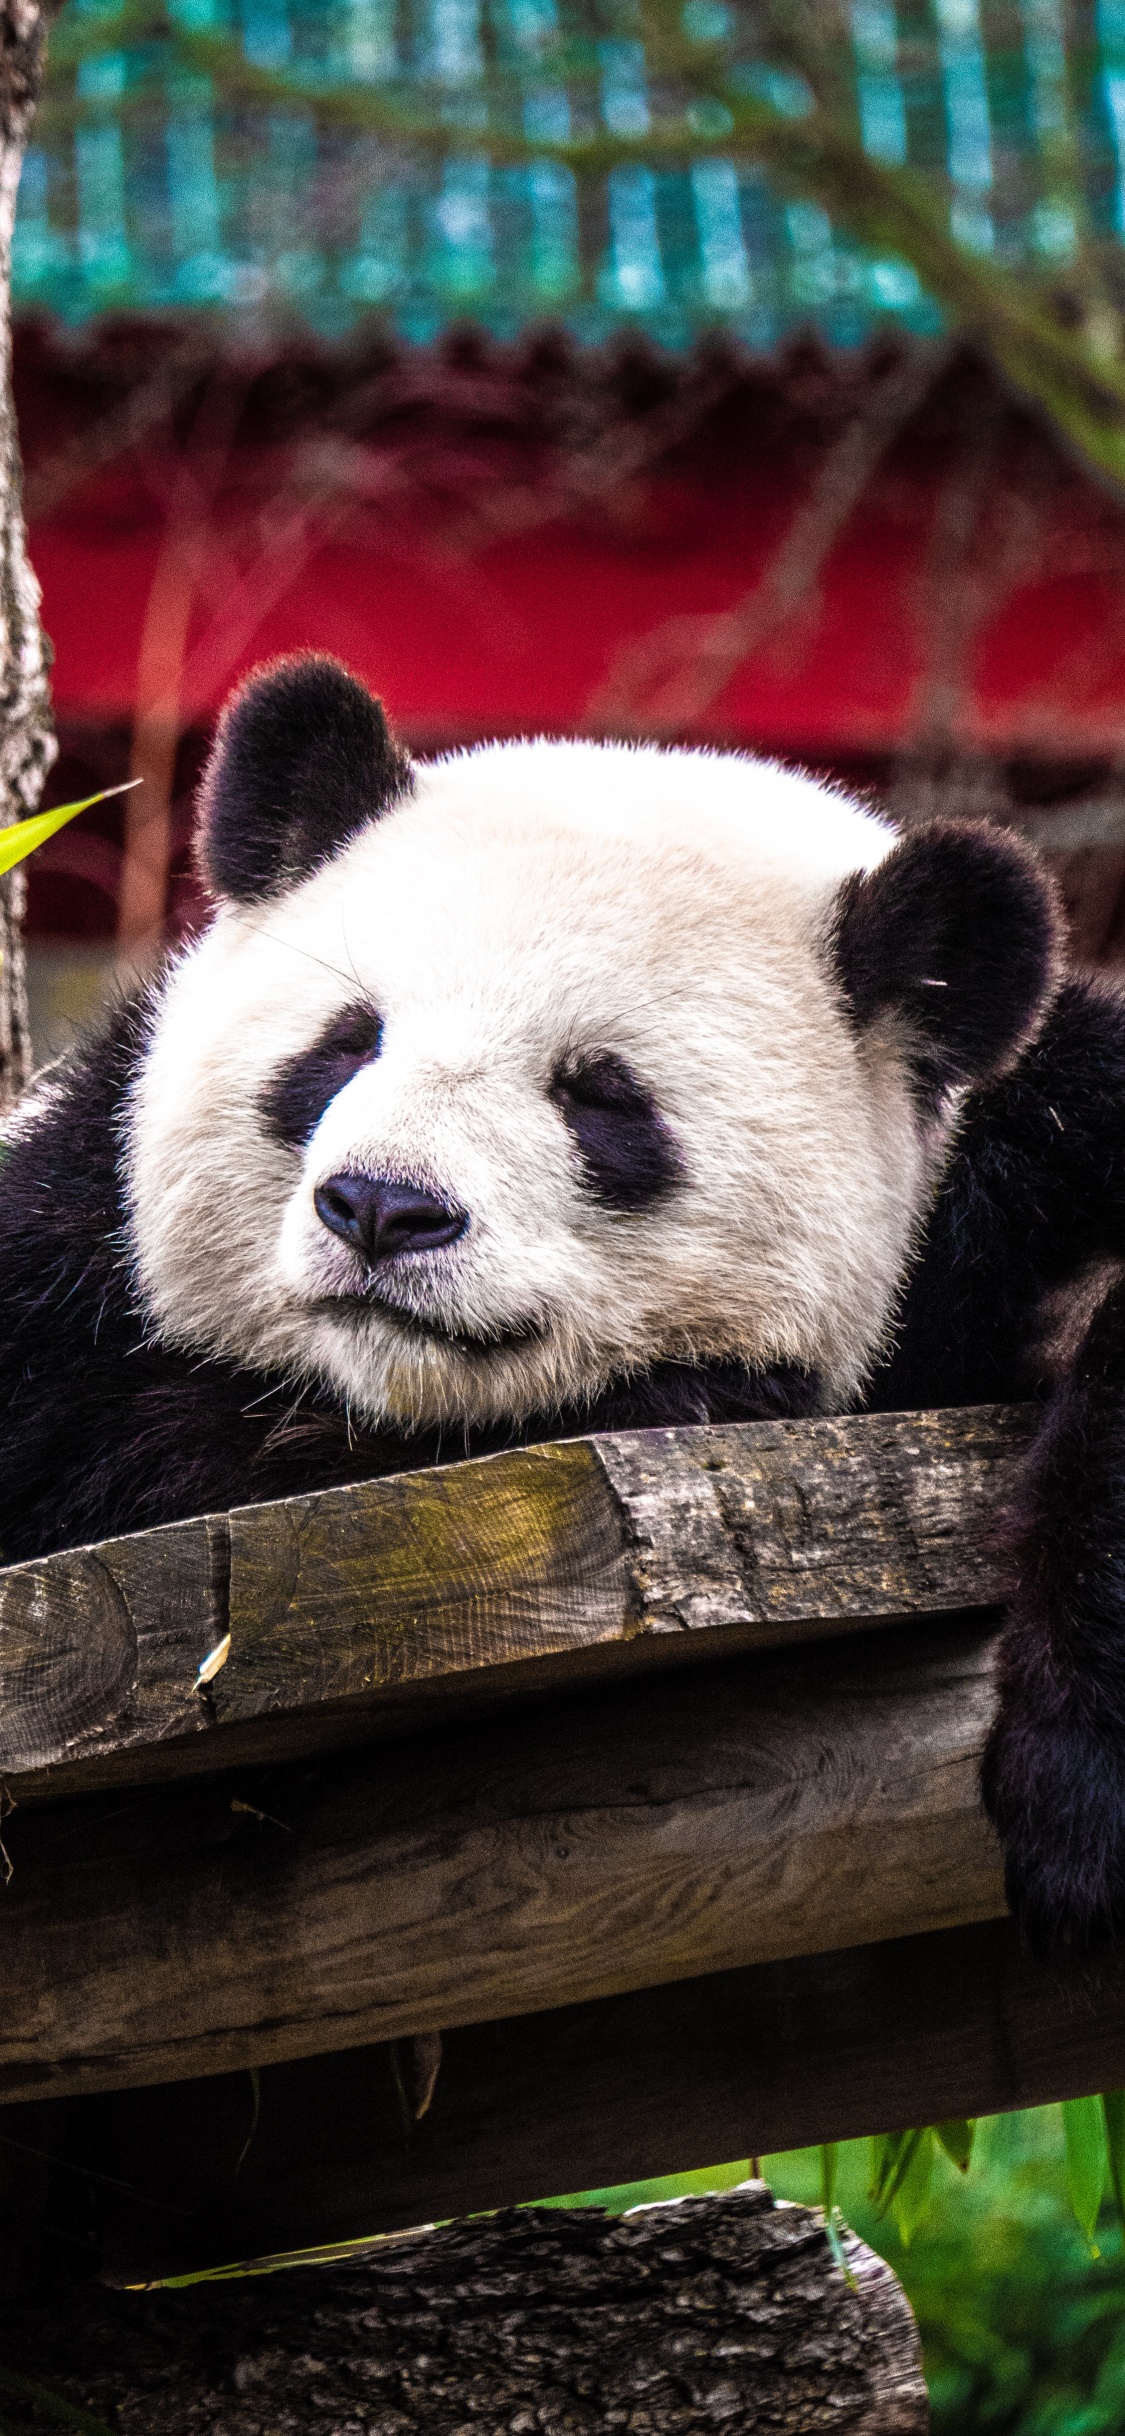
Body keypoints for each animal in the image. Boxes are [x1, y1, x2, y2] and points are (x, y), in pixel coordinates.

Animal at [0, 651, 1121, 1962]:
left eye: (600, 1095)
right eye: (347, 1042)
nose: (383, 1208)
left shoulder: (1033, 1150)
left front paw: (1077, 1797)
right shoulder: (62, 1250)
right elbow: (112, 1440)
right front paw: (710, 1394)